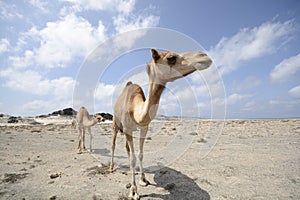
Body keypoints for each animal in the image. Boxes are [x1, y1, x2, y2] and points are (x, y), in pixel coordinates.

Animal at [109, 48, 211, 200]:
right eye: (171, 57)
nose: (204, 56)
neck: (135, 109)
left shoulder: (144, 128)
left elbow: (140, 154)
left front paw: (143, 179)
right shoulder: (127, 128)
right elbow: (133, 158)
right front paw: (133, 191)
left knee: (127, 149)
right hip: (116, 124)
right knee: (114, 144)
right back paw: (111, 167)